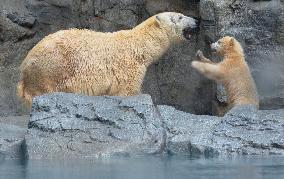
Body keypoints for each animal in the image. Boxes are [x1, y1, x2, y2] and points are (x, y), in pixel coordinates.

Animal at [17, 12, 197, 105]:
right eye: (180, 17)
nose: (196, 20)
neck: (140, 44)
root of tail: (24, 65)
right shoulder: (129, 66)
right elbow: (128, 91)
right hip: (51, 67)